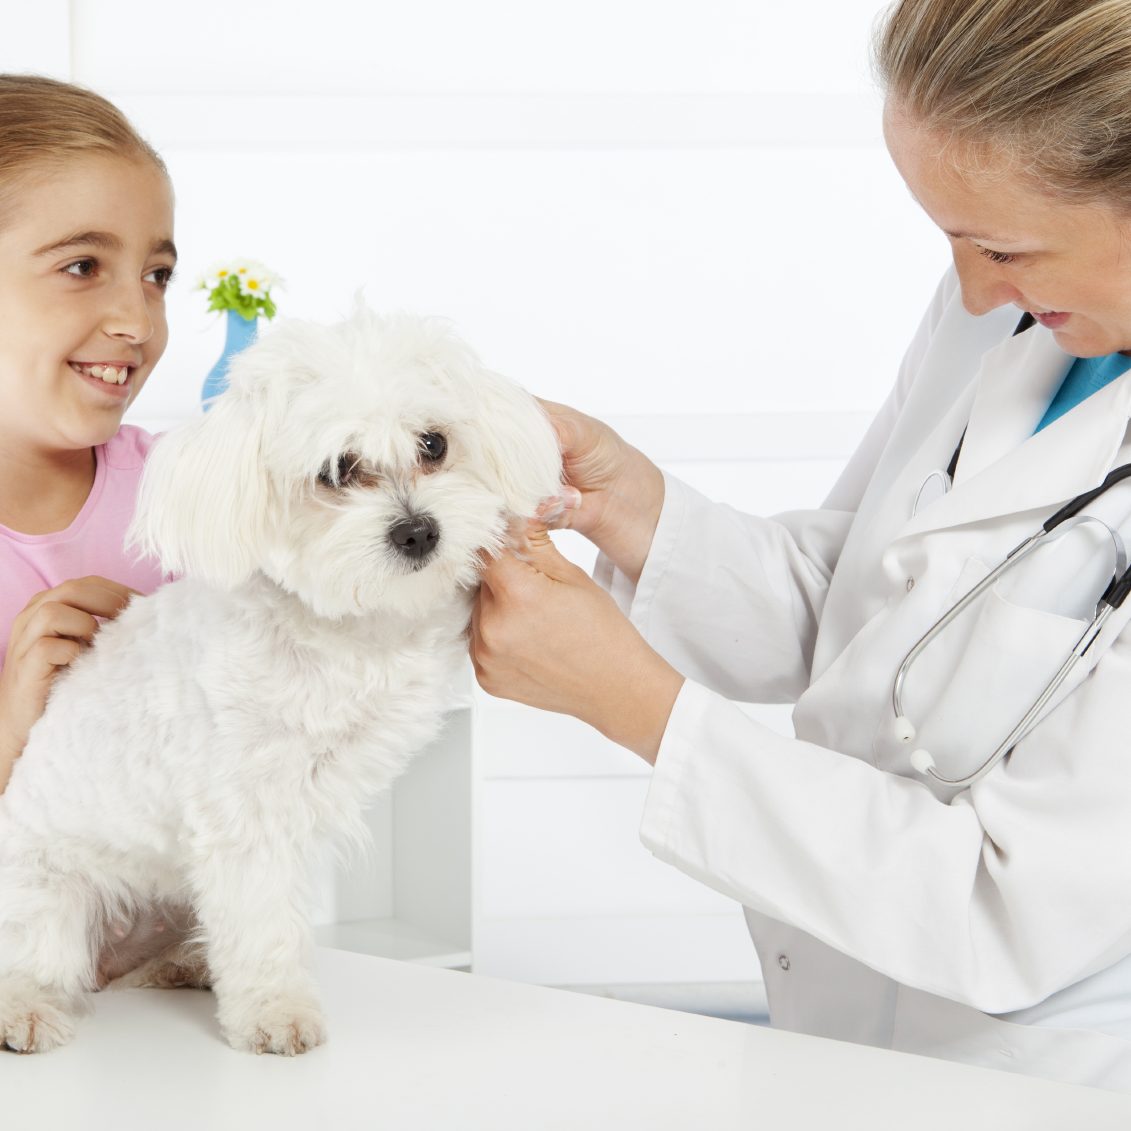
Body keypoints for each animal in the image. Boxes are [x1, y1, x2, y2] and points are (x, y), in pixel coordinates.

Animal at [0, 307, 561, 1055]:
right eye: (336, 470)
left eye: (433, 443)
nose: (420, 533)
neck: (340, 633)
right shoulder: (247, 814)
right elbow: (262, 920)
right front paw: (274, 1011)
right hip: (44, 887)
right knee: (36, 957)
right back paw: (24, 1010)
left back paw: (184, 964)